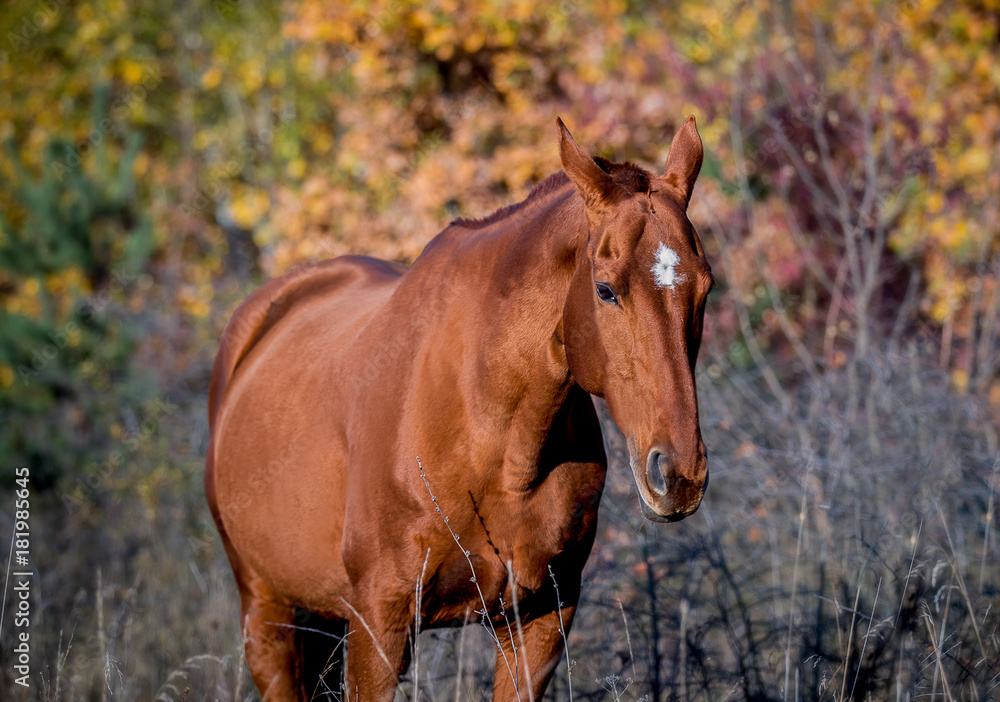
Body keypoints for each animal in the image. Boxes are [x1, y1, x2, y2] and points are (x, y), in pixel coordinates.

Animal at [207, 118, 716, 700]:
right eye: (606, 290)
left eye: (706, 288)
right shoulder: (379, 624)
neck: (491, 439)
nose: (678, 476)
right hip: (267, 619)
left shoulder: (540, 619)